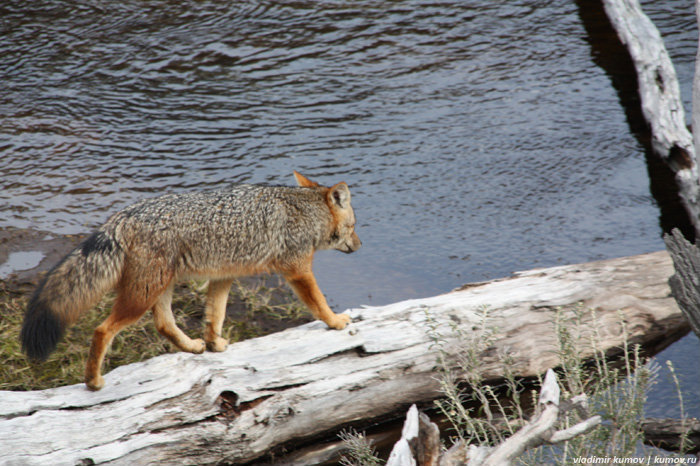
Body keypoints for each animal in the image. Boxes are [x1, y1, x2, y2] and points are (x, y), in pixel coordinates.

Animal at [20, 171, 360, 390]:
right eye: (355, 225)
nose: (359, 245)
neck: (305, 211)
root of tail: (123, 216)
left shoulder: (224, 277)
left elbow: (215, 316)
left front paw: (213, 344)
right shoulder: (298, 270)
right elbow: (319, 303)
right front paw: (336, 322)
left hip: (159, 288)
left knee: (163, 324)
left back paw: (193, 347)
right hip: (143, 296)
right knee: (103, 330)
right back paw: (93, 381)